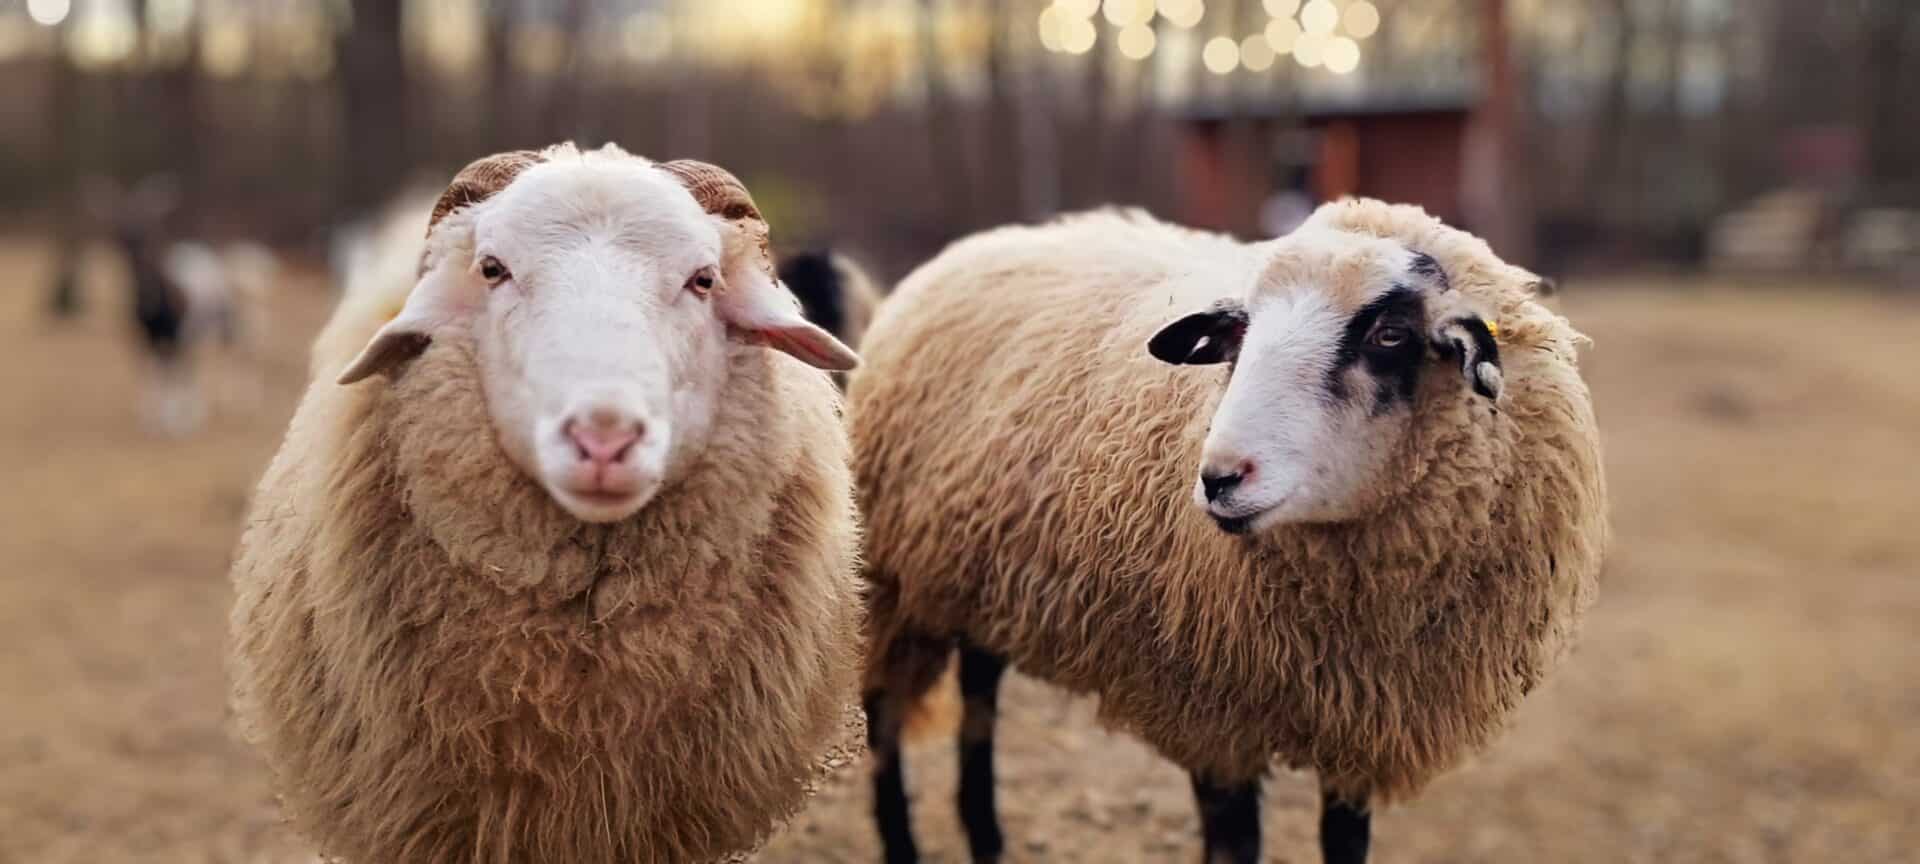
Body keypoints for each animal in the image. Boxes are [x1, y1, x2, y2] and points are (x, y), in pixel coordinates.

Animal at [849, 199, 1607, 864]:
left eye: (1390, 334)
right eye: (1237, 336)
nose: (1218, 479)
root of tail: (978, 243)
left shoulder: (1360, 734)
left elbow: (1345, 847)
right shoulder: (1213, 720)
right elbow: (1233, 847)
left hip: (984, 577)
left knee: (979, 700)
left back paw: (987, 841)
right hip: (893, 580)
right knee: (884, 721)